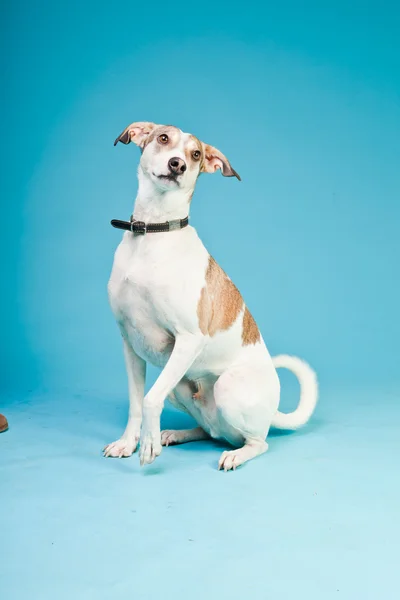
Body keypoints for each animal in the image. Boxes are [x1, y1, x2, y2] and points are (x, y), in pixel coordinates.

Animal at [104, 120, 318, 468]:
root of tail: (271, 413)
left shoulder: (189, 339)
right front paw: (128, 442)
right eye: (163, 138)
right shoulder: (129, 344)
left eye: (195, 155)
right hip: (179, 387)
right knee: (211, 431)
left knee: (257, 442)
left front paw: (147, 443)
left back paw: (235, 454)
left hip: (227, 388)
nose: (177, 164)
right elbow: (136, 402)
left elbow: (150, 399)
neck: (153, 232)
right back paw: (176, 434)